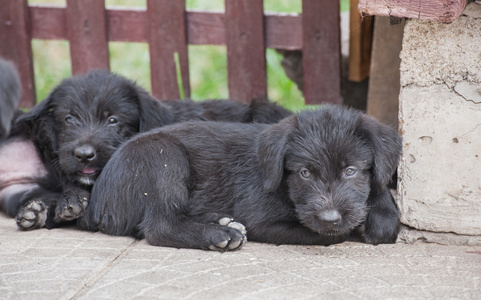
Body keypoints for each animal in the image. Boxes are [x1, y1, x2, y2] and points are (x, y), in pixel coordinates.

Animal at [79, 105, 402, 251]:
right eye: (305, 173)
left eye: (351, 171)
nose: (330, 217)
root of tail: (97, 202)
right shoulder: (263, 221)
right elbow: (326, 235)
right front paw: (356, 228)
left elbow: (381, 197)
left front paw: (381, 216)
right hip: (163, 157)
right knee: (160, 226)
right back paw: (220, 234)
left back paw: (219, 220)